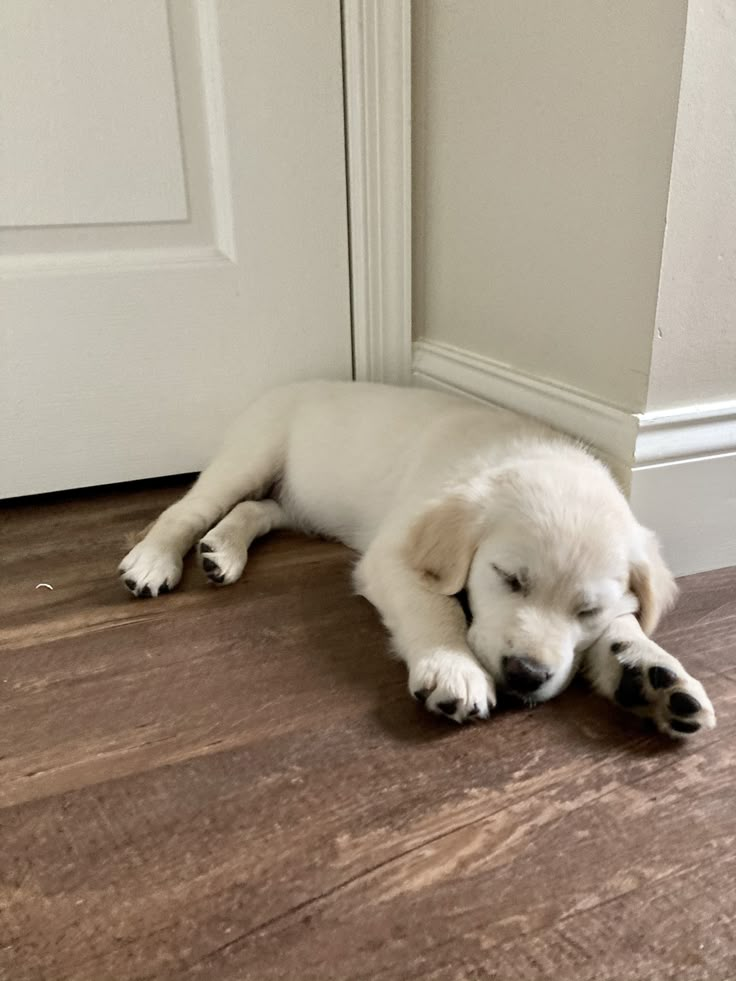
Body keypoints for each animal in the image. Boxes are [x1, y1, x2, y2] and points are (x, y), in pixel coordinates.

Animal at [119, 380, 712, 736]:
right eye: (507, 578)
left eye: (586, 611)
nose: (524, 676)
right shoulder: (393, 555)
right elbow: (438, 606)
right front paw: (454, 670)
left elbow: (626, 623)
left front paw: (657, 676)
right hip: (251, 453)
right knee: (186, 510)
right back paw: (153, 560)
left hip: (301, 501)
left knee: (256, 509)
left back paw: (223, 550)